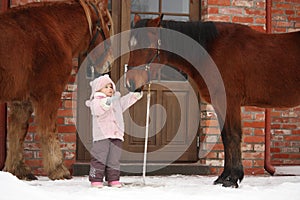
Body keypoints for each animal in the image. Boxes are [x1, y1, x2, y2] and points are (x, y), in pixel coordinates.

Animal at [0, 0, 113, 180]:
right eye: (108, 24)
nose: (109, 64)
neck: (55, 31)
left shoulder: (22, 100)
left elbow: (17, 132)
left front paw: (17, 169)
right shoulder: (49, 94)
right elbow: (49, 130)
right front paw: (58, 168)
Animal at [126, 16, 300, 188]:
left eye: (148, 45)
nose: (130, 83)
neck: (213, 50)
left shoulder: (230, 102)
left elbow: (232, 136)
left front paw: (232, 179)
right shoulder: (220, 103)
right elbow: (225, 137)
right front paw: (224, 177)